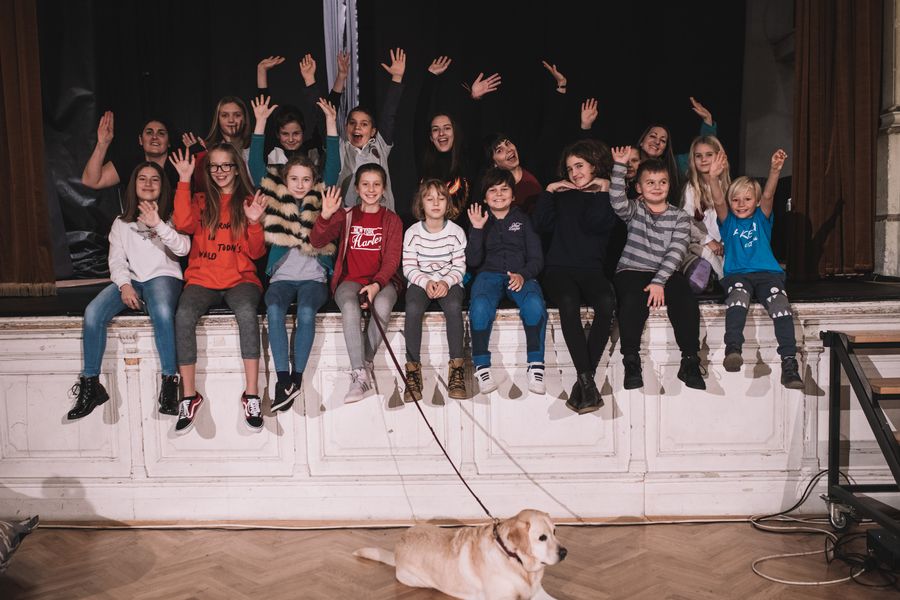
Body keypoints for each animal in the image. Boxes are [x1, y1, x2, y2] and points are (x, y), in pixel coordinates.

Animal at [354, 509, 566, 600]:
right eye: (542, 538)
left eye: (555, 532)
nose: (564, 552)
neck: (517, 562)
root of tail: (400, 541)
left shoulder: (538, 593)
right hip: (415, 579)